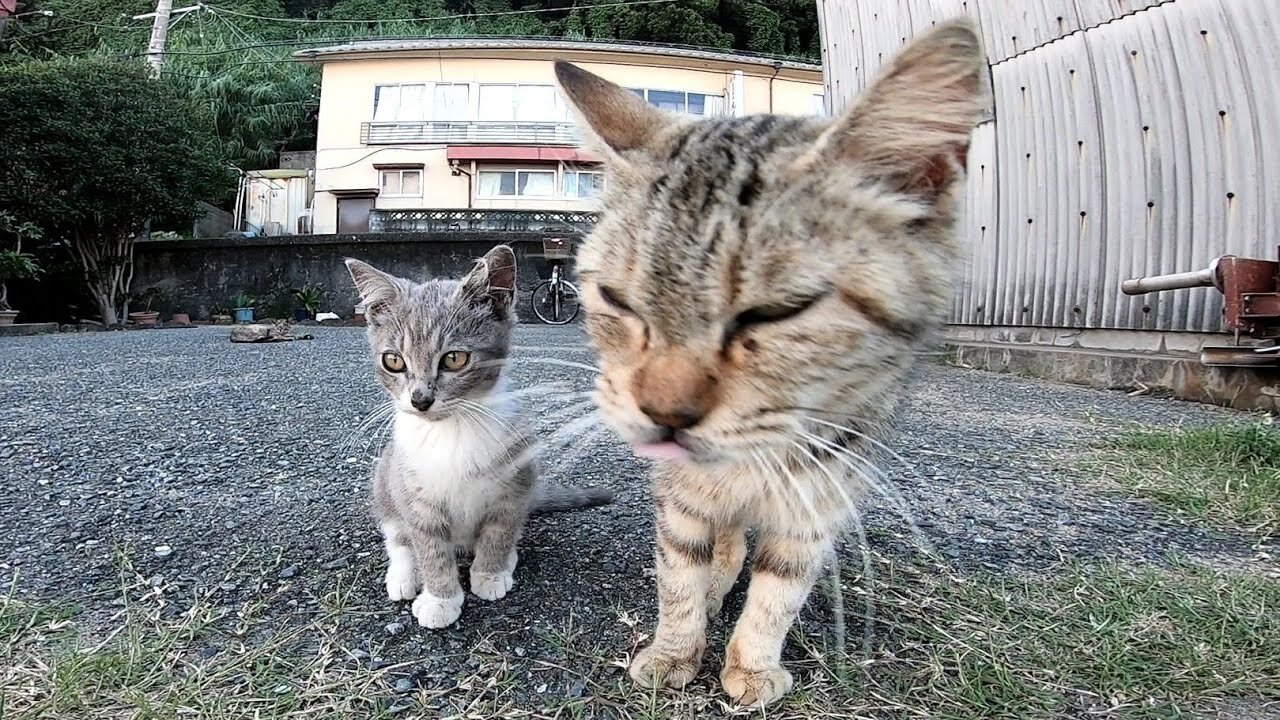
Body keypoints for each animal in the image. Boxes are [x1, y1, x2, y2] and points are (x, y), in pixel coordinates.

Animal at [348, 243, 611, 625]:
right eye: (393, 361)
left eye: (454, 359)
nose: (420, 400)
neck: (454, 428)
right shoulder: (414, 495)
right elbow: (428, 546)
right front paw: (440, 598)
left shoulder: (515, 484)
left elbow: (499, 531)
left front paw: (490, 573)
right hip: (385, 478)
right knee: (397, 536)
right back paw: (403, 574)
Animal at [552, 19, 988, 702]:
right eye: (619, 301)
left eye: (777, 312)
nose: (663, 413)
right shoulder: (681, 493)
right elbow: (680, 570)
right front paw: (676, 650)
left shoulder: (822, 490)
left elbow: (781, 586)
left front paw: (752, 665)